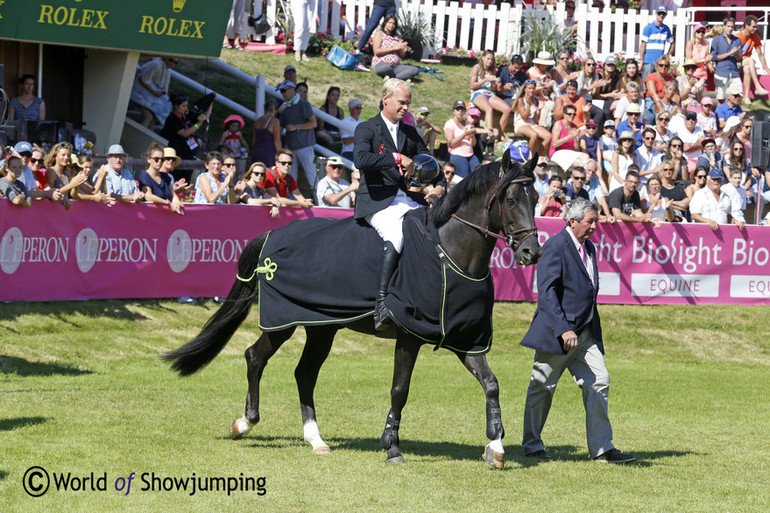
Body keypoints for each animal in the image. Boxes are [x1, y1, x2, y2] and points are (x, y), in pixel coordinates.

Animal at [166, 152, 544, 468]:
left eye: (536, 199)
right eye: (511, 199)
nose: (531, 253)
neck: (449, 253)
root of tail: (274, 234)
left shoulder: (464, 339)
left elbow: (491, 384)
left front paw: (495, 446)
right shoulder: (409, 337)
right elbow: (400, 390)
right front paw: (392, 446)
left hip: (321, 326)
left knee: (304, 373)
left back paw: (315, 440)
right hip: (282, 321)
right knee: (255, 357)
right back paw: (244, 423)